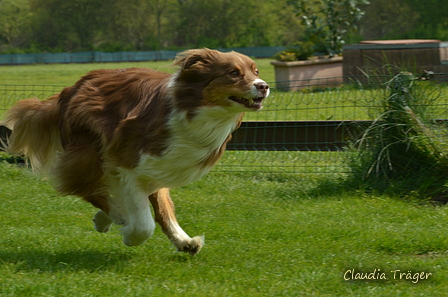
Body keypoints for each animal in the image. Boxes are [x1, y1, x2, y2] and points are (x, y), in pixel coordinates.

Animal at [2, 49, 270, 254]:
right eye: (233, 73)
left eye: (255, 72)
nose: (264, 86)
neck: (195, 113)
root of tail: (71, 88)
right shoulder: (126, 164)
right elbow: (143, 223)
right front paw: (130, 233)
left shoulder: (159, 167)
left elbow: (161, 208)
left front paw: (182, 240)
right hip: (89, 151)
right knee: (84, 187)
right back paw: (119, 215)